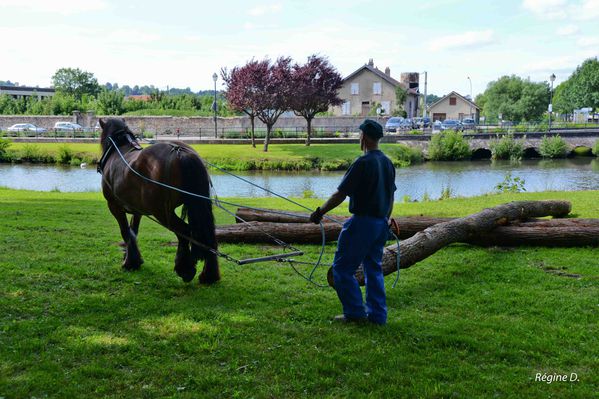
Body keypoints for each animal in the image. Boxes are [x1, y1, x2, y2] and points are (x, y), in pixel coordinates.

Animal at [98, 119, 220, 284]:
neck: (119, 149)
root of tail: (180, 151)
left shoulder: (114, 206)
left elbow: (125, 232)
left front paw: (129, 262)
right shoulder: (137, 210)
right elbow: (133, 231)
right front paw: (134, 259)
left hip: (161, 212)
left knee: (184, 232)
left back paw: (184, 268)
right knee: (207, 236)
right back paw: (209, 275)